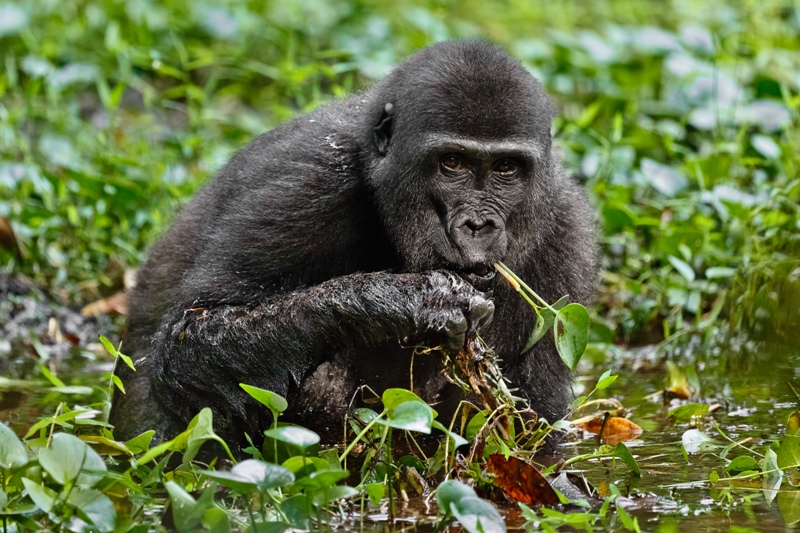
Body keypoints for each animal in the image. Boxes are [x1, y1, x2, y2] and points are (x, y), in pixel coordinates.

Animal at [112, 39, 600, 450]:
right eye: (452, 163)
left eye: (505, 168)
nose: (478, 224)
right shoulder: (307, 181)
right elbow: (192, 340)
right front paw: (404, 301)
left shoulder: (566, 232)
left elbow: (534, 433)